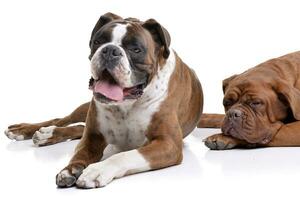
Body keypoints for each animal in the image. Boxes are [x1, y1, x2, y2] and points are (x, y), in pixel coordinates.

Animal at [4, 13, 205, 188]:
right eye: (98, 42)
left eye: (136, 49)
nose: (110, 50)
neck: (127, 104)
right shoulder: (93, 135)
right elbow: (80, 152)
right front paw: (69, 169)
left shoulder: (168, 144)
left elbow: (124, 156)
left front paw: (97, 170)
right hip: (83, 109)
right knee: (64, 120)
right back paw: (31, 130)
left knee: (79, 127)